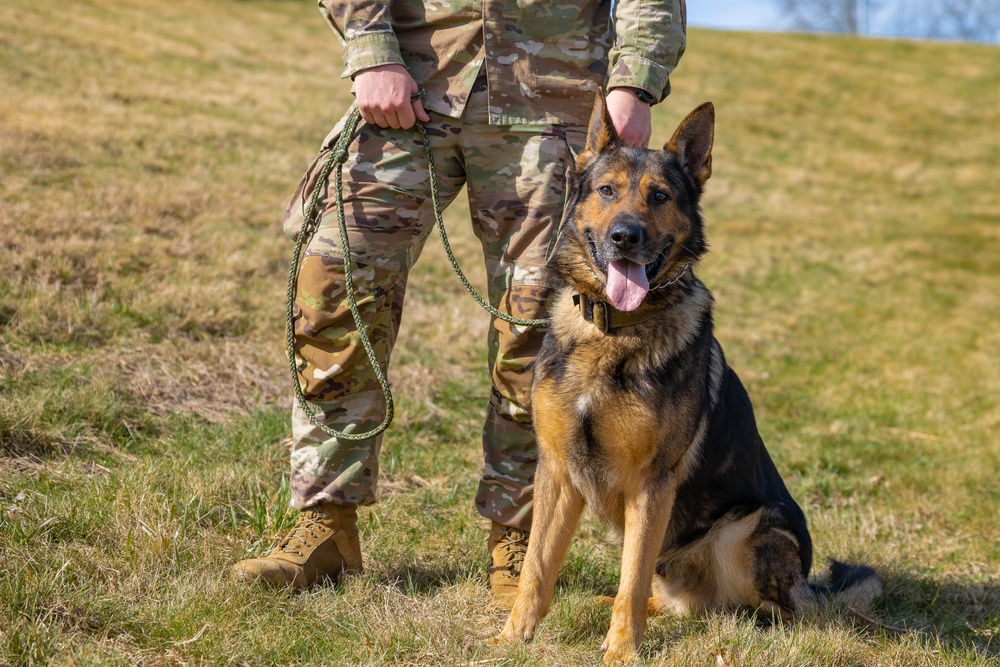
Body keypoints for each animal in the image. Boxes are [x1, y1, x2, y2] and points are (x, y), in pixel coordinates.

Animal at [496, 94, 880, 664]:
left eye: (660, 196)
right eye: (607, 191)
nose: (625, 237)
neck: (615, 329)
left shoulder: (652, 483)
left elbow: (631, 577)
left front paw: (621, 652)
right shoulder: (559, 472)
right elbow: (538, 568)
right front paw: (512, 638)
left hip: (747, 531)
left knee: (779, 615)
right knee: (673, 599)